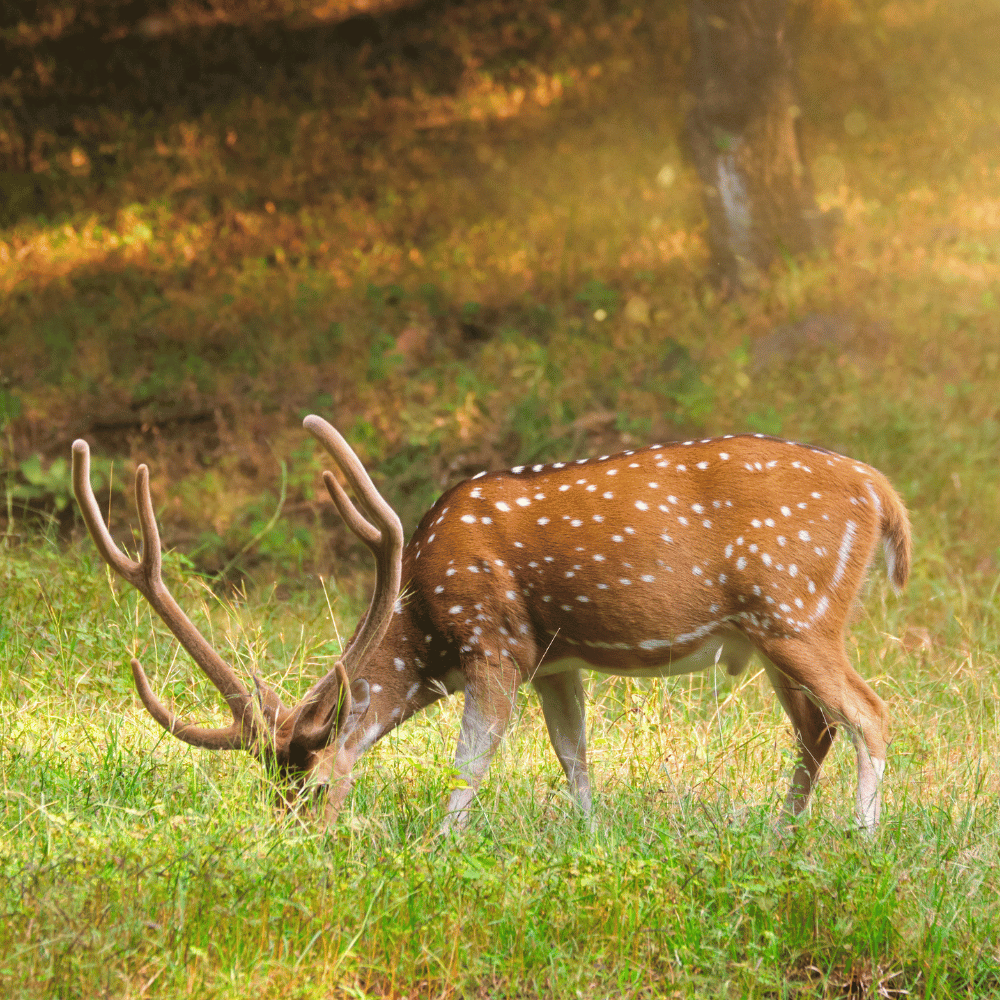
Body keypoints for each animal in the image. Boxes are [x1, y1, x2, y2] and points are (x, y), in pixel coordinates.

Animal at [71, 414, 910, 834]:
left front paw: (440, 848)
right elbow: (575, 758)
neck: (424, 620)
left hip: (797, 611)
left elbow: (470, 760)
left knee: (870, 712)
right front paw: (592, 842)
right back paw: (776, 839)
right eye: (268, 792)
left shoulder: (494, 639)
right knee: (817, 727)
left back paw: (861, 845)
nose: (286, 844)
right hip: (770, 635)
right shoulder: (557, 661)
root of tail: (882, 491)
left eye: (311, 791)